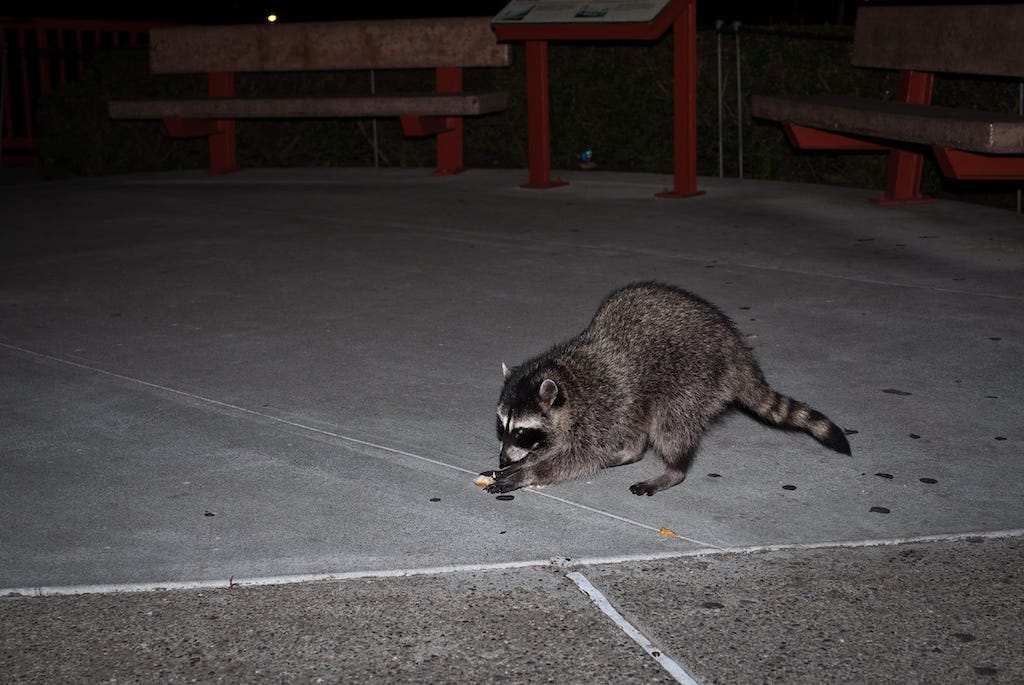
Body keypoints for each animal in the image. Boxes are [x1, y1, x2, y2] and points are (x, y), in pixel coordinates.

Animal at [483, 280, 851, 493]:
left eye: (521, 431)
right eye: (503, 426)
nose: (503, 457)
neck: (567, 377)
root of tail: (735, 345)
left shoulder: (600, 410)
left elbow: (578, 456)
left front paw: (529, 471)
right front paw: (522, 463)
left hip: (693, 379)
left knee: (670, 423)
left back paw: (673, 470)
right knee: (638, 421)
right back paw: (630, 453)